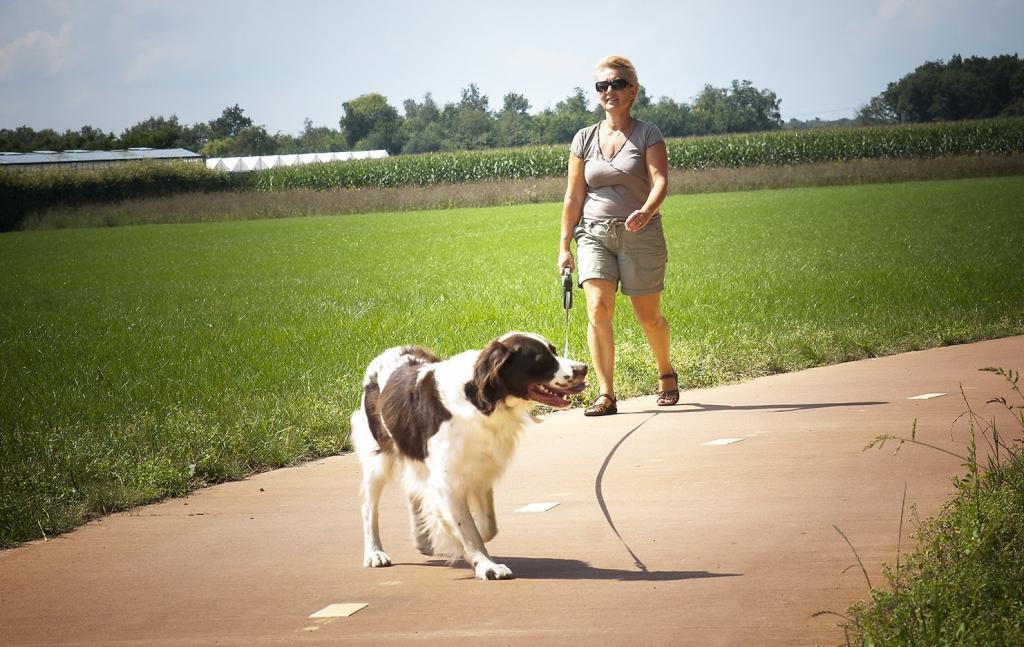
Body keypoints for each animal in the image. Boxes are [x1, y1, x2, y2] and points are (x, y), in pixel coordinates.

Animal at [352, 331, 589, 577]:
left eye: (553, 350)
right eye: (541, 358)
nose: (584, 368)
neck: (478, 400)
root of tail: (388, 352)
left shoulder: (480, 471)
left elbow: (485, 526)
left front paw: (448, 534)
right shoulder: (447, 480)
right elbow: (467, 528)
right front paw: (487, 565)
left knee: (413, 491)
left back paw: (423, 540)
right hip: (377, 459)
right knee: (369, 507)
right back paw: (375, 553)